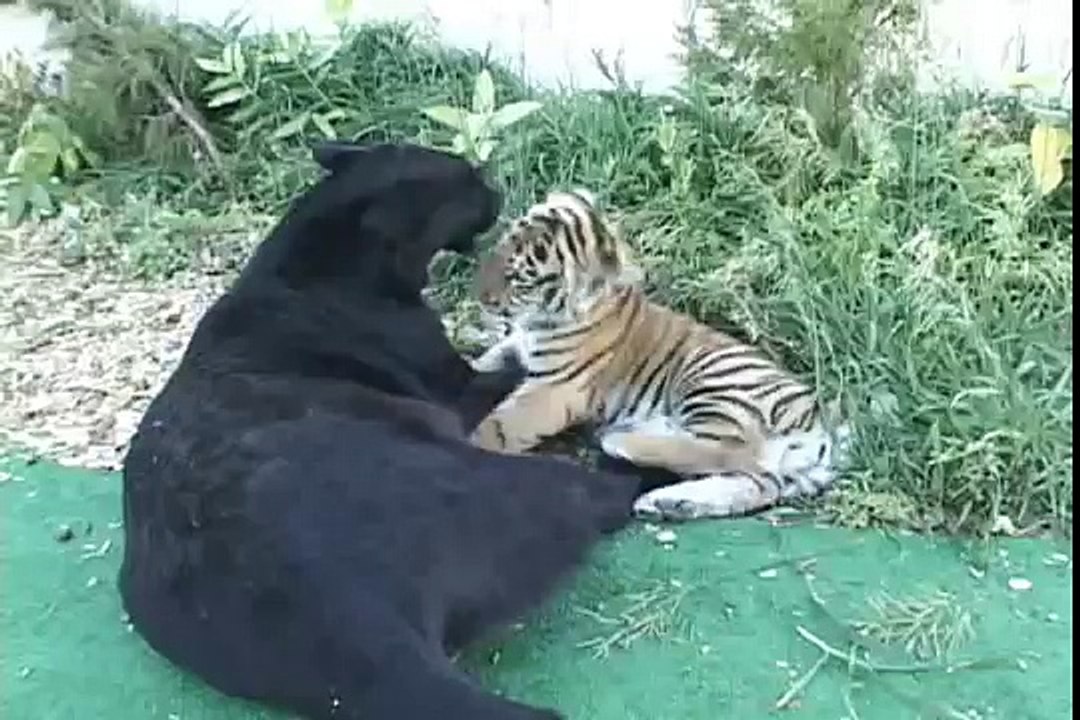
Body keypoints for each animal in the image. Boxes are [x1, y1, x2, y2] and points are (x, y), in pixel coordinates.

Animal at [466, 188, 851, 521]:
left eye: (519, 278)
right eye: (500, 249)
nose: (479, 296)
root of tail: (823, 427)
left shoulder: (555, 387)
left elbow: (500, 425)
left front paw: (470, 444)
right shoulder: (514, 347)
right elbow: (485, 361)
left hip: (713, 380)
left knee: (730, 451)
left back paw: (623, 441)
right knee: (759, 481)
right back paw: (669, 501)